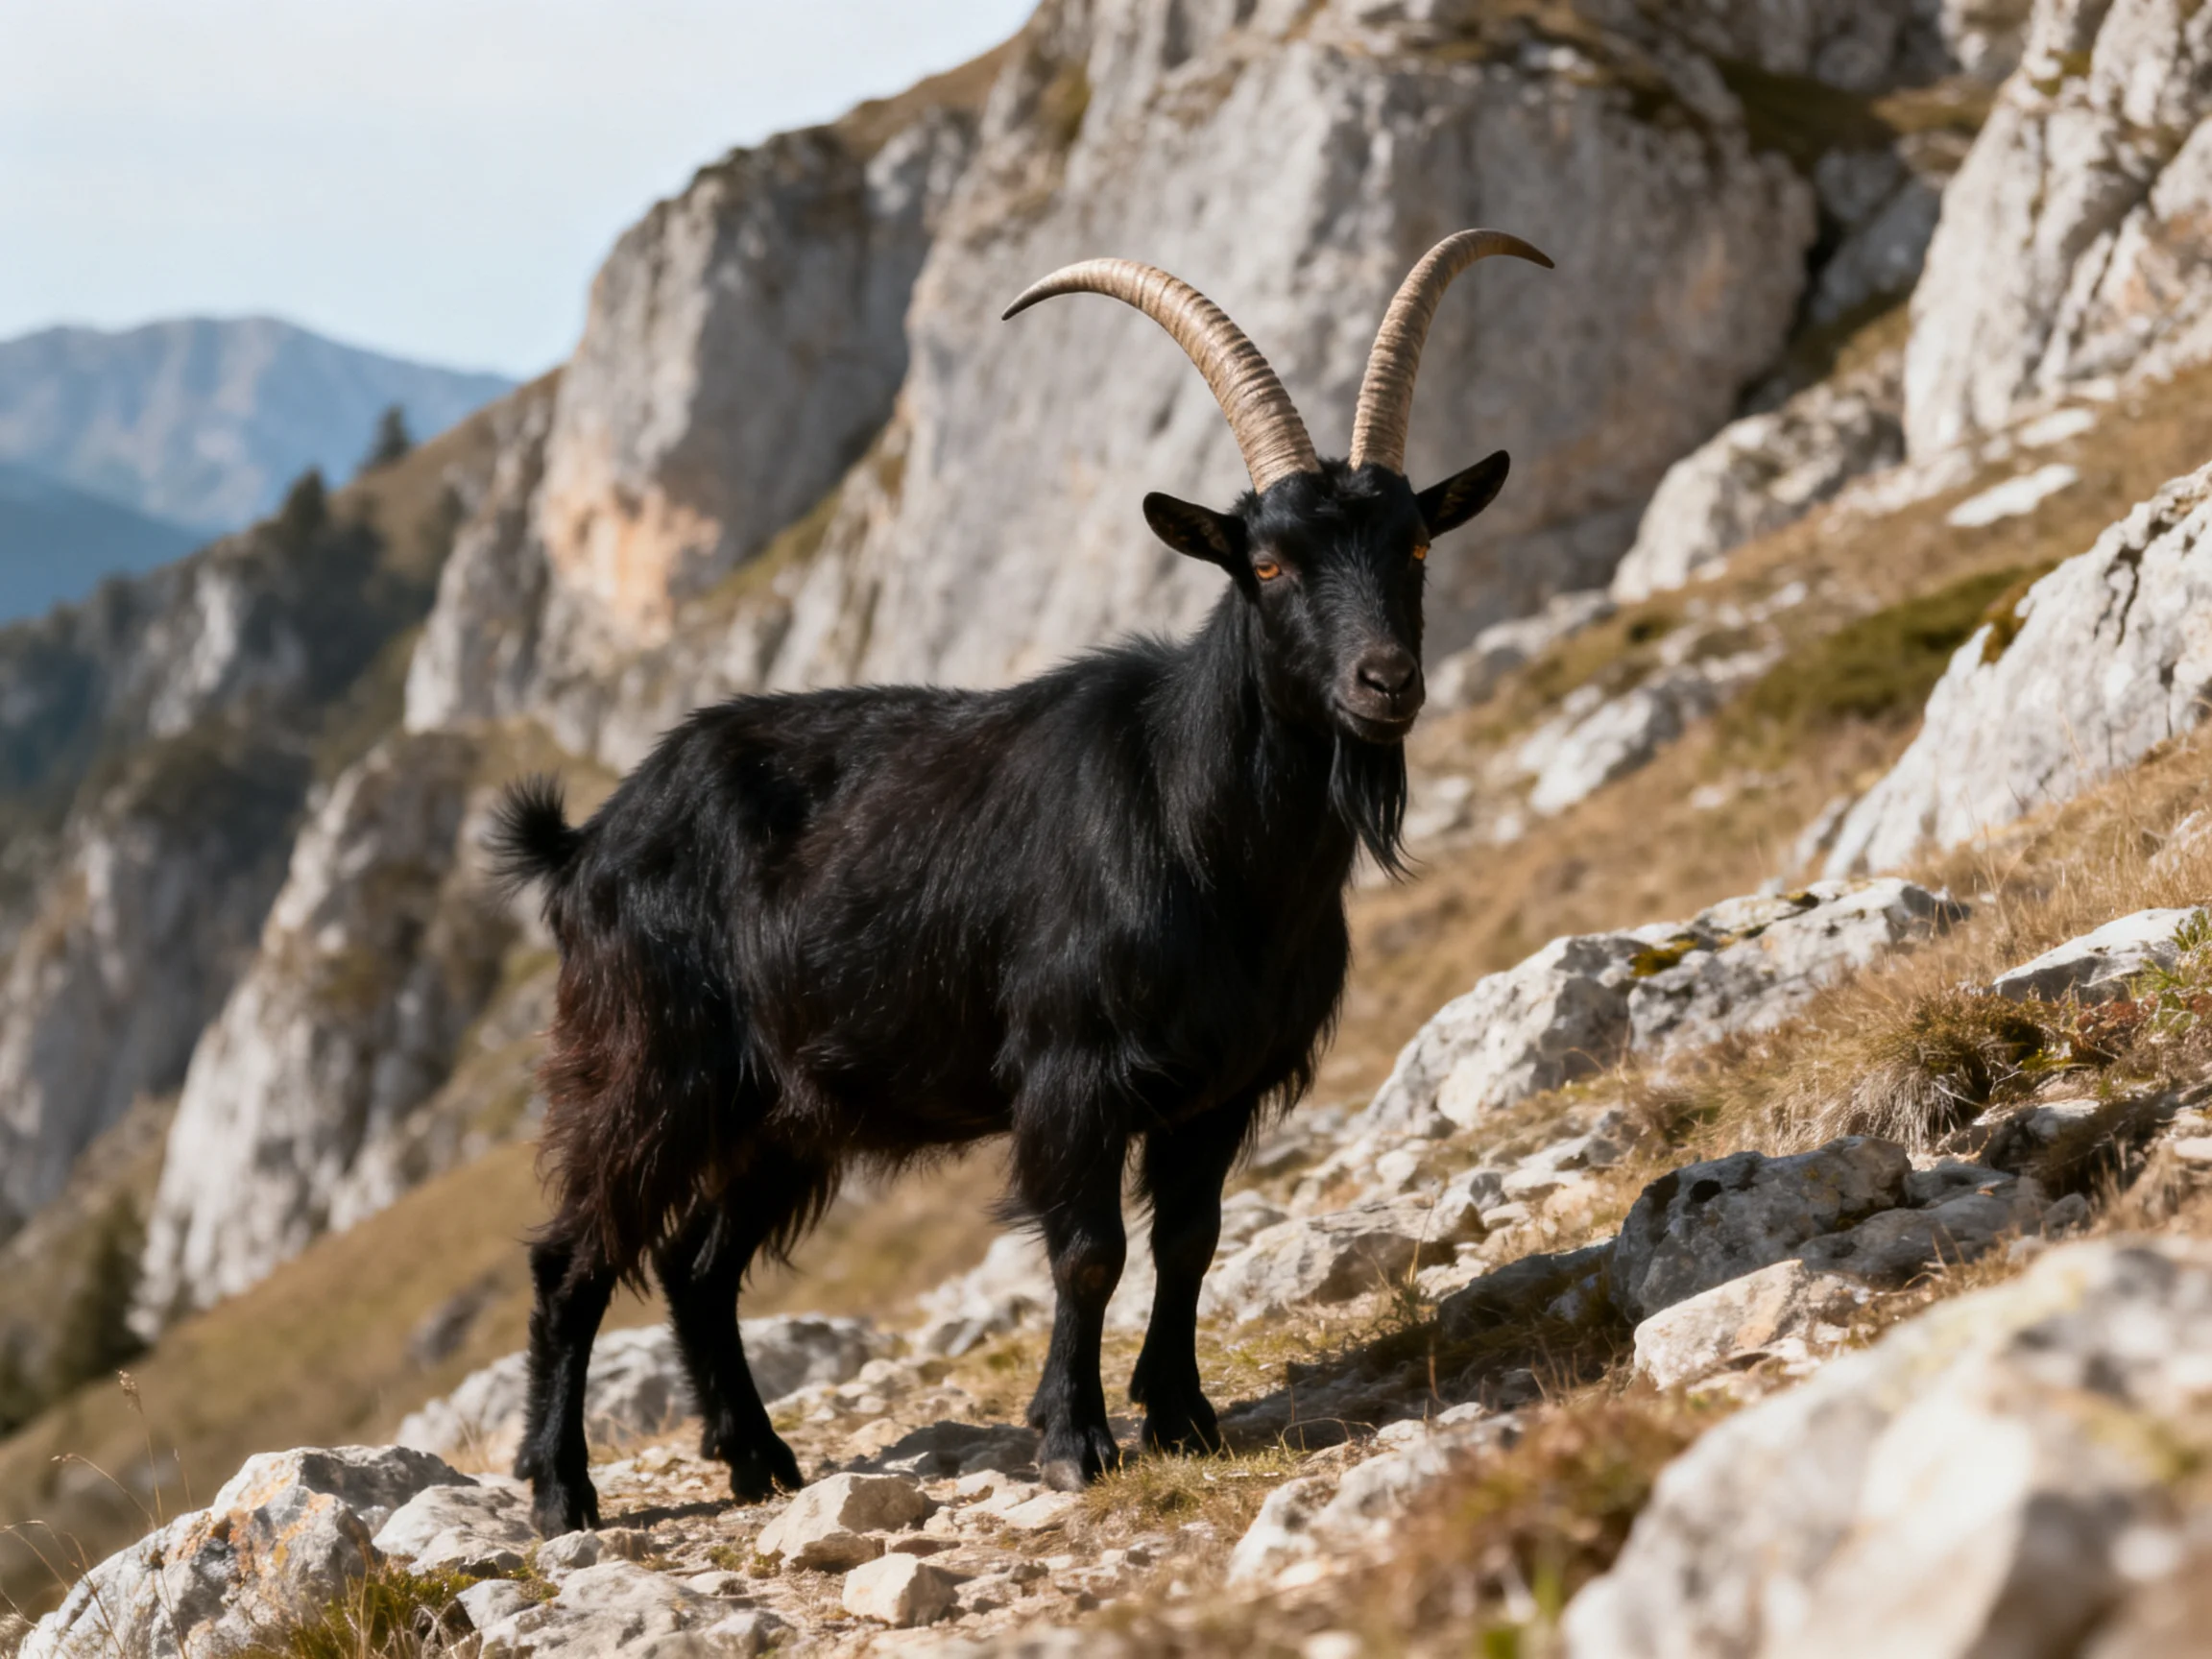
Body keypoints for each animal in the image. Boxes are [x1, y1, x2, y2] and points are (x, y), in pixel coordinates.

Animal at [494, 231, 1551, 1534]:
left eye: (1414, 544)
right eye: (1264, 561)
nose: (1385, 681)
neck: (1201, 833)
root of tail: (589, 841)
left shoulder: (1219, 1086)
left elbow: (1191, 1239)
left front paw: (1184, 1417)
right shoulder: (1070, 1073)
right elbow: (1089, 1250)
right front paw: (1073, 1439)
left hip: (786, 1109)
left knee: (698, 1266)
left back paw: (760, 1461)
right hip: (648, 1065)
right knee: (575, 1256)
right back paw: (562, 1493)